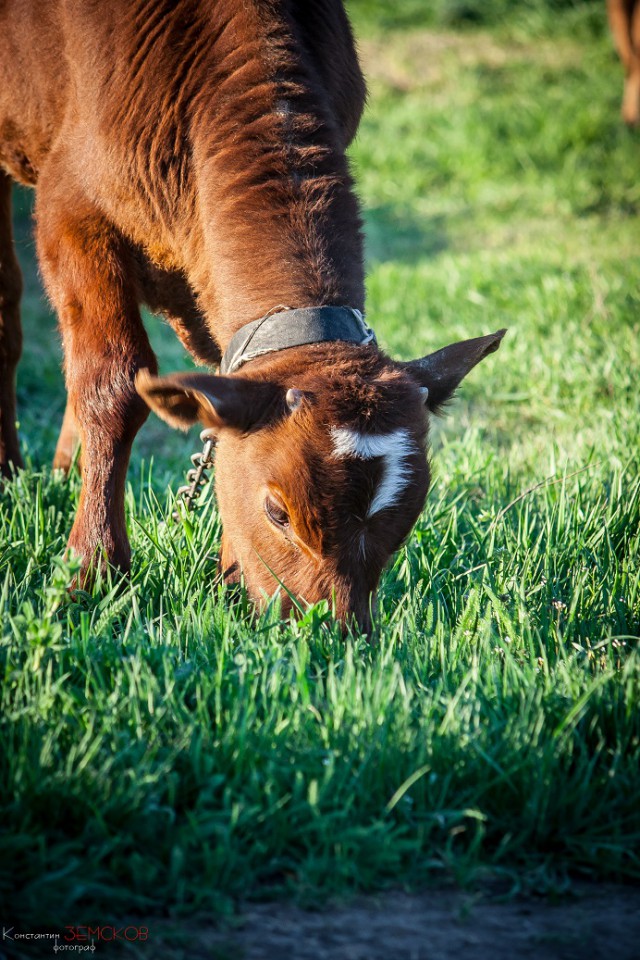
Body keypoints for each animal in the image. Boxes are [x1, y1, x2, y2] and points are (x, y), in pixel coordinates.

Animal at [0, 0, 502, 632]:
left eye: (409, 515)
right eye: (277, 512)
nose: (333, 631)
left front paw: (230, 580)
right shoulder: (69, 205)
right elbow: (112, 385)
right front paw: (90, 572)